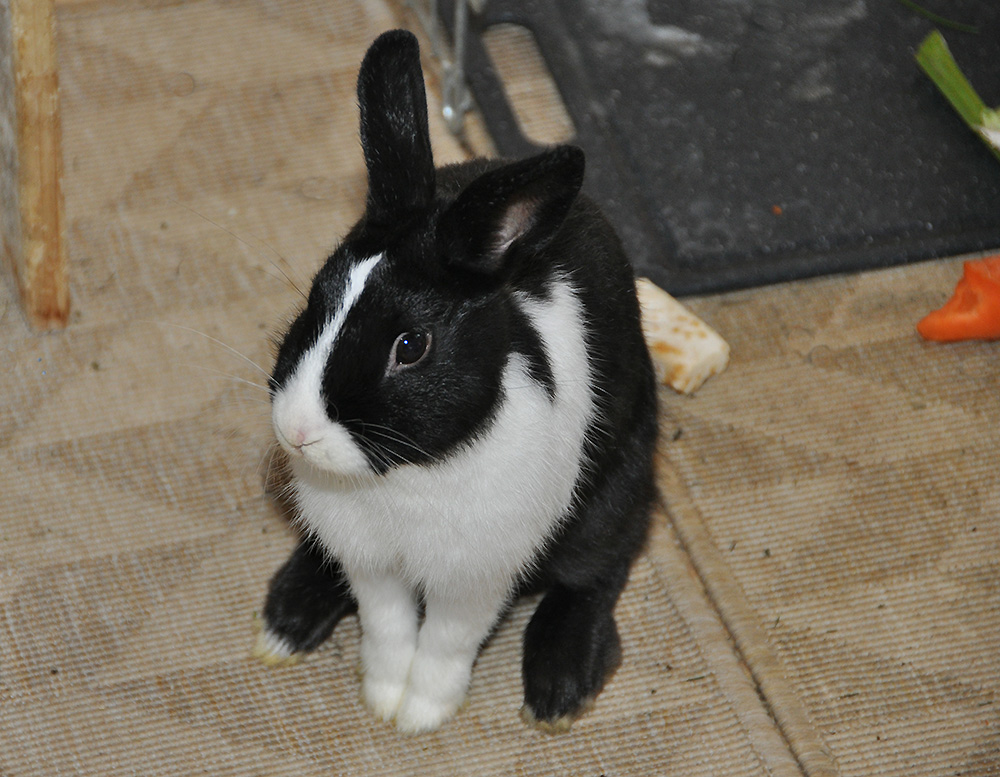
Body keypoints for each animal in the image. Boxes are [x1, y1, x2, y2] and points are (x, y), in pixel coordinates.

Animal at [258, 30, 660, 732]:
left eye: (410, 347)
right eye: (315, 297)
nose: (298, 432)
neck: (405, 476)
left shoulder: (476, 574)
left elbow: (447, 639)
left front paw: (422, 712)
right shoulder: (371, 563)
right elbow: (388, 627)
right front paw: (384, 697)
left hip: (618, 486)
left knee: (598, 569)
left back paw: (558, 687)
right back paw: (287, 619)